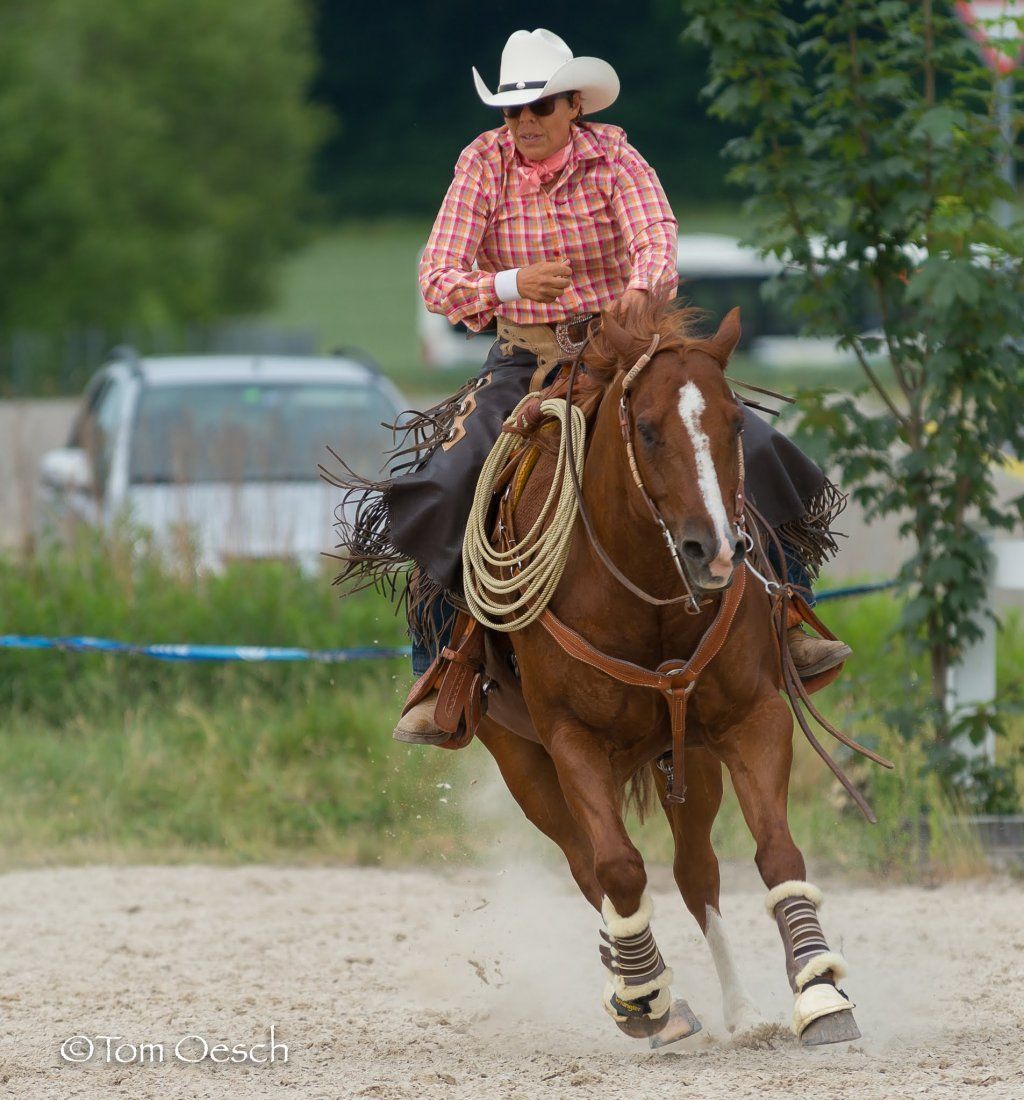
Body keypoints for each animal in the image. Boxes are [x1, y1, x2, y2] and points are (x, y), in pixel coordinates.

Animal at [470, 299, 863, 1047]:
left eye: (735, 423)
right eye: (648, 431)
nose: (716, 551)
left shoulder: (751, 717)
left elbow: (777, 853)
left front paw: (821, 993)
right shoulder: (571, 740)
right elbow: (619, 868)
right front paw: (644, 996)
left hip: (688, 756)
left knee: (694, 871)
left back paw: (738, 1009)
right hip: (521, 763)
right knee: (590, 868)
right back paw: (652, 1000)